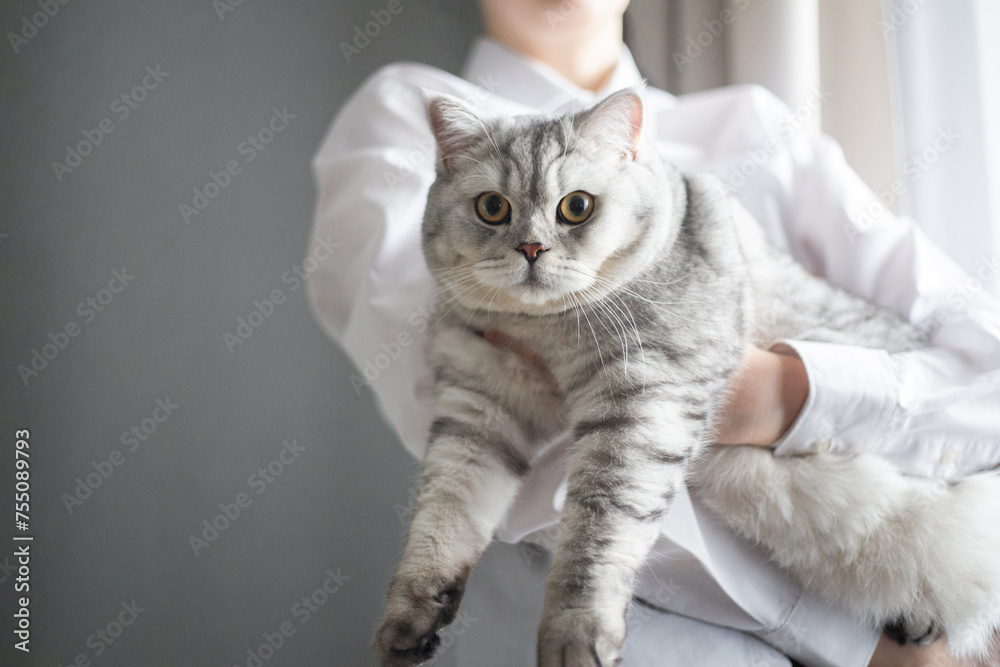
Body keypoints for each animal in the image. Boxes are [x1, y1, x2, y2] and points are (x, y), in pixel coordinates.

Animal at [374, 90, 1000, 667]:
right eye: (491, 207)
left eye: (576, 207)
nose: (531, 247)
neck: (545, 333)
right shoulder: (476, 406)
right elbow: (444, 514)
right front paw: (409, 620)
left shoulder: (643, 397)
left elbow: (596, 534)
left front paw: (575, 637)